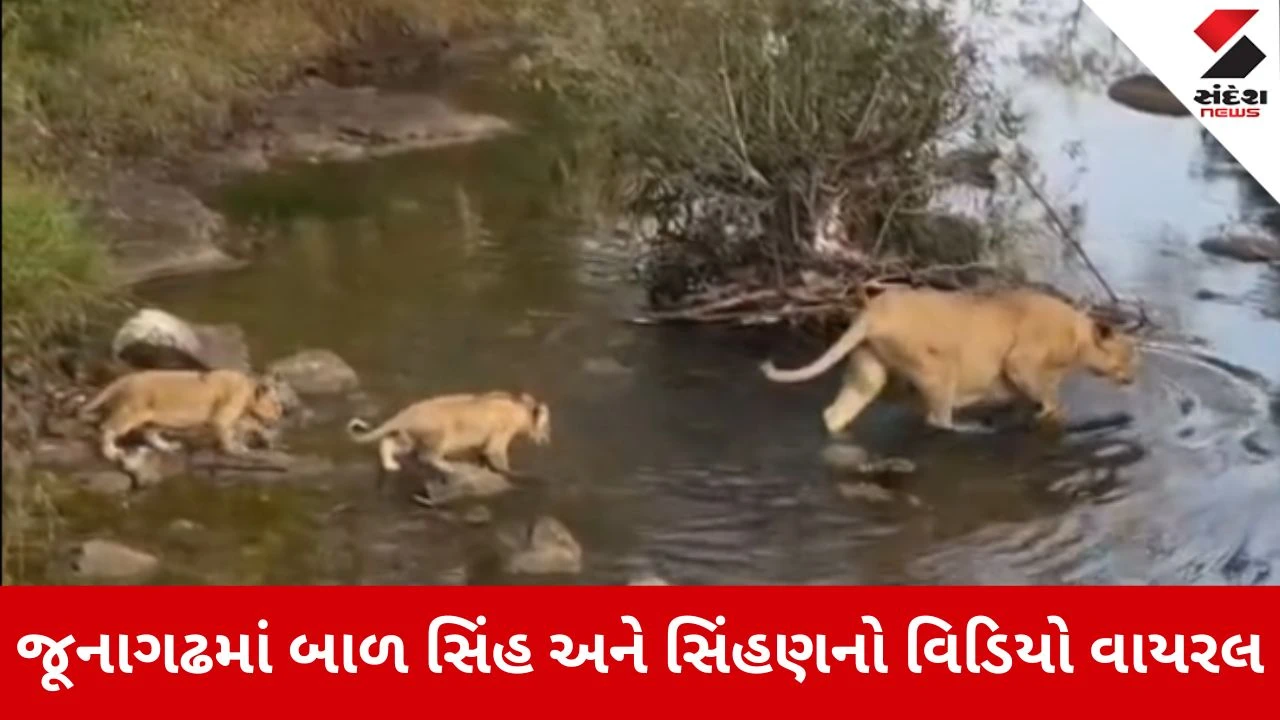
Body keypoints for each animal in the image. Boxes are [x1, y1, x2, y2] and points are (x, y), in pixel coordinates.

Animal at [78, 368, 287, 462]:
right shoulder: (222, 417)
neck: (249, 390)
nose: (280, 415)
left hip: (155, 417)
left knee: (150, 434)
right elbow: (227, 433)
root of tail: (124, 379)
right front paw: (234, 449)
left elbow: (240, 429)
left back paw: (168, 446)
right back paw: (111, 452)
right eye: (276, 404)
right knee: (107, 428)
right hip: (131, 412)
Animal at [345, 390, 551, 476]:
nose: (547, 438)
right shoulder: (501, 432)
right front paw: (511, 471)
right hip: (437, 433)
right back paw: (446, 466)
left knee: (389, 443)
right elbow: (495, 452)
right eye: (547, 426)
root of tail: (407, 412)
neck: (520, 410)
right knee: (427, 455)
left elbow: (482, 453)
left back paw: (390, 465)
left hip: (410, 436)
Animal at [760, 286, 1140, 436]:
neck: (1077, 336)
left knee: (834, 414)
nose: (1135, 376)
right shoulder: (1021, 363)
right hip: (940, 372)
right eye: (1127, 355)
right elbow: (1051, 403)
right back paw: (973, 428)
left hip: (870, 374)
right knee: (938, 420)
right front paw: (1051, 416)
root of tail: (875, 311)